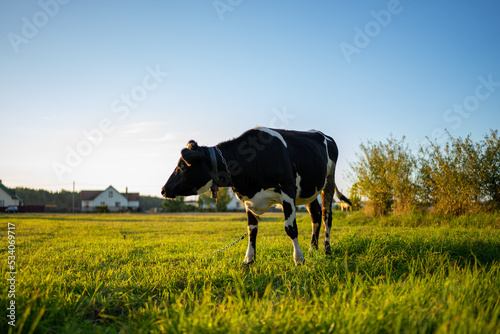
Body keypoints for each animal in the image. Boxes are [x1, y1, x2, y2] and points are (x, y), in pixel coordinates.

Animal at [160, 126, 352, 264]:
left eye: (182, 166)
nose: (163, 190)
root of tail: (322, 134)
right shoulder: (248, 201)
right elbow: (252, 230)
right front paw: (249, 259)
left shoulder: (287, 192)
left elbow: (290, 228)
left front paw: (298, 259)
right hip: (309, 191)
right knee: (316, 216)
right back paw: (313, 248)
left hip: (328, 181)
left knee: (327, 216)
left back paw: (326, 249)